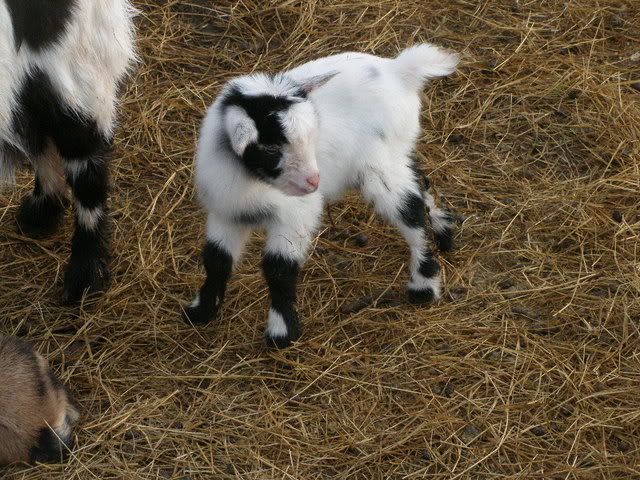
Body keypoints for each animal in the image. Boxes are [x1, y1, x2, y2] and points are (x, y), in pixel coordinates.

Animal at [186, 44, 459, 348]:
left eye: (311, 136)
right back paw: (444, 231)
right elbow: (216, 260)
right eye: (270, 148)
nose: (314, 181)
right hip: (396, 151)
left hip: (379, 164)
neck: (252, 181)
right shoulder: (226, 212)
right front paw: (201, 310)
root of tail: (398, 71)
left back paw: (424, 286)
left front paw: (281, 333)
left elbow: (278, 268)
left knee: (410, 209)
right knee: (419, 181)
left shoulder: (295, 215)